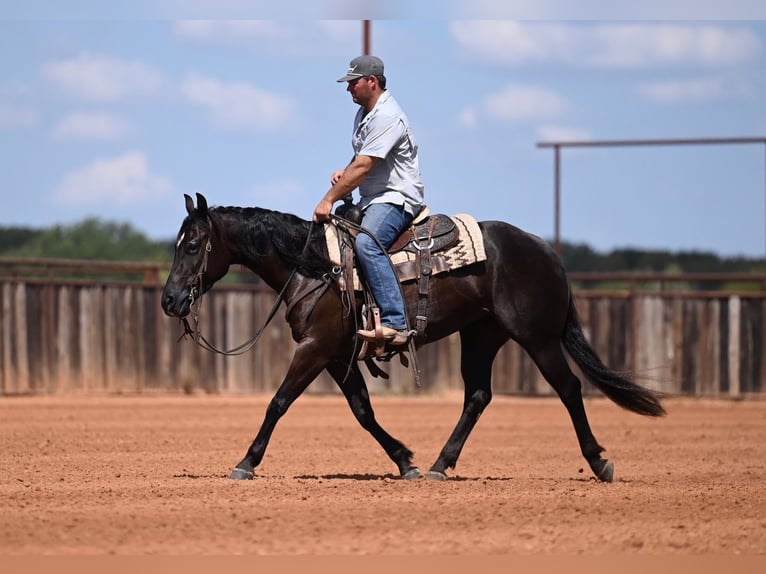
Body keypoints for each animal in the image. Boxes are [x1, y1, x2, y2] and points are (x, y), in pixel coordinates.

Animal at [161, 192, 665, 482]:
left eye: (193, 245)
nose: (169, 300)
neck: (314, 266)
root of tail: (545, 251)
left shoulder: (315, 348)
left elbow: (278, 402)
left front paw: (246, 463)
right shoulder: (337, 354)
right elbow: (363, 412)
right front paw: (405, 459)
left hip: (537, 337)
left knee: (570, 388)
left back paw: (599, 462)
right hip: (481, 336)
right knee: (478, 395)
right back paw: (441, 465)